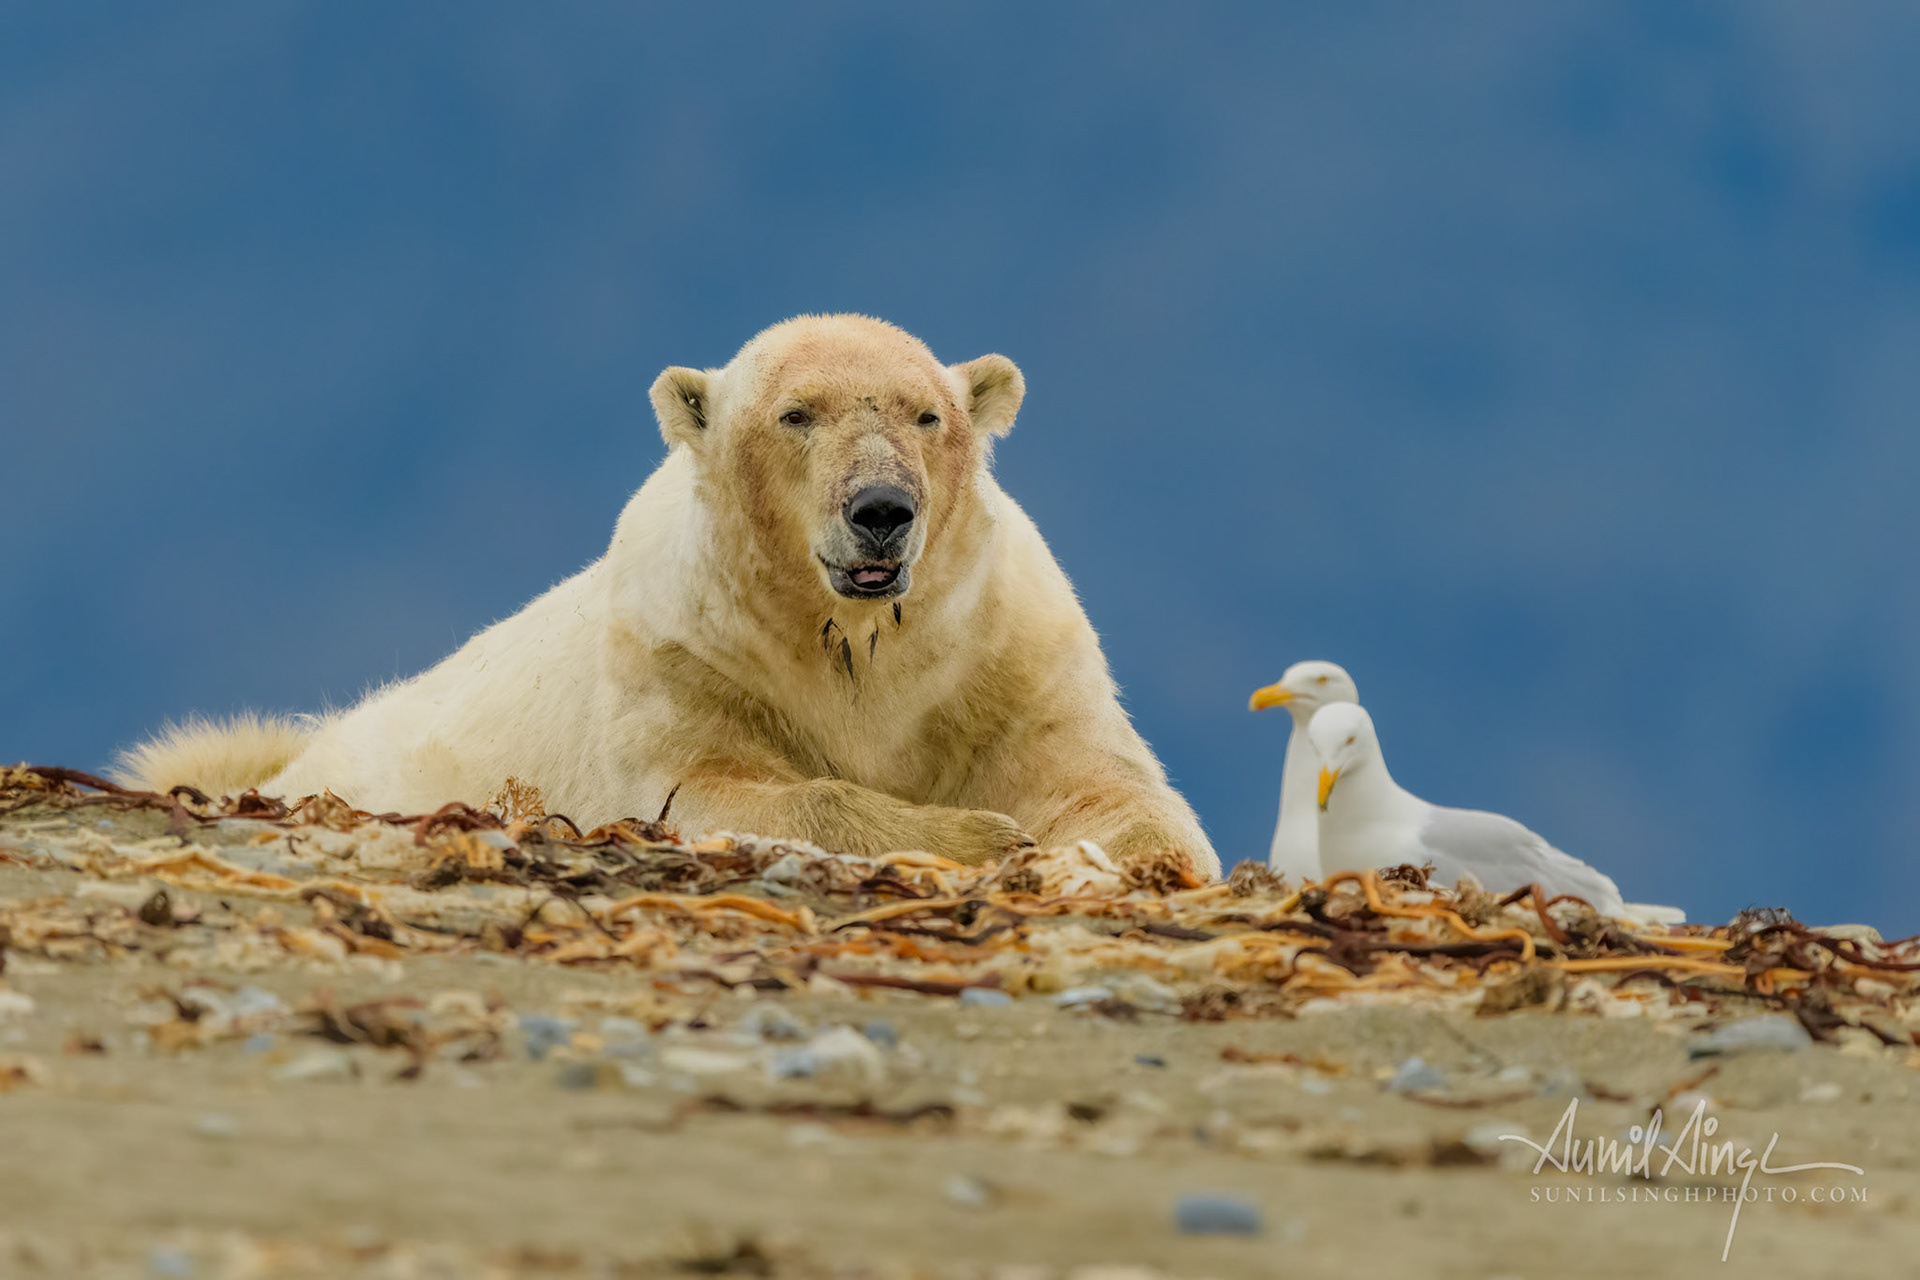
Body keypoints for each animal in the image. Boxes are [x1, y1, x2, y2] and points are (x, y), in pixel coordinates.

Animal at [118, 315, 1218, 874]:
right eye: (797, 413)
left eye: (927, 414)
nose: (882, 509)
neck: (855, 637)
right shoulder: (687, 659)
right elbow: (718, 789)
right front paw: (984, 835)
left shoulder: (1007, 656)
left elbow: (1110, 784)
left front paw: (1104, 851)